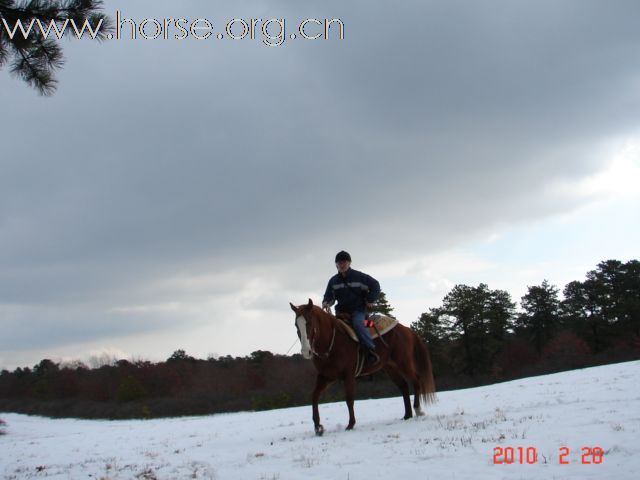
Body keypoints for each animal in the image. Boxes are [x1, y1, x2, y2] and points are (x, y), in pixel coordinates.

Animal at [288, 298, 436, 436]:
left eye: (309, 322)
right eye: (296, 324)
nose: (306, 351)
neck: (332, 342)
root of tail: (406, 329)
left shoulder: (348, 374)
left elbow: (349, 398)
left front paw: (350, 424)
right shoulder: (326, 376)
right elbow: (314, 396)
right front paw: (318, 427)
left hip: (403, 362)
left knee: (416, 380)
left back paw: (417, 410)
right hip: (390, 367)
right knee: (403, 386)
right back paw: (407, 415)